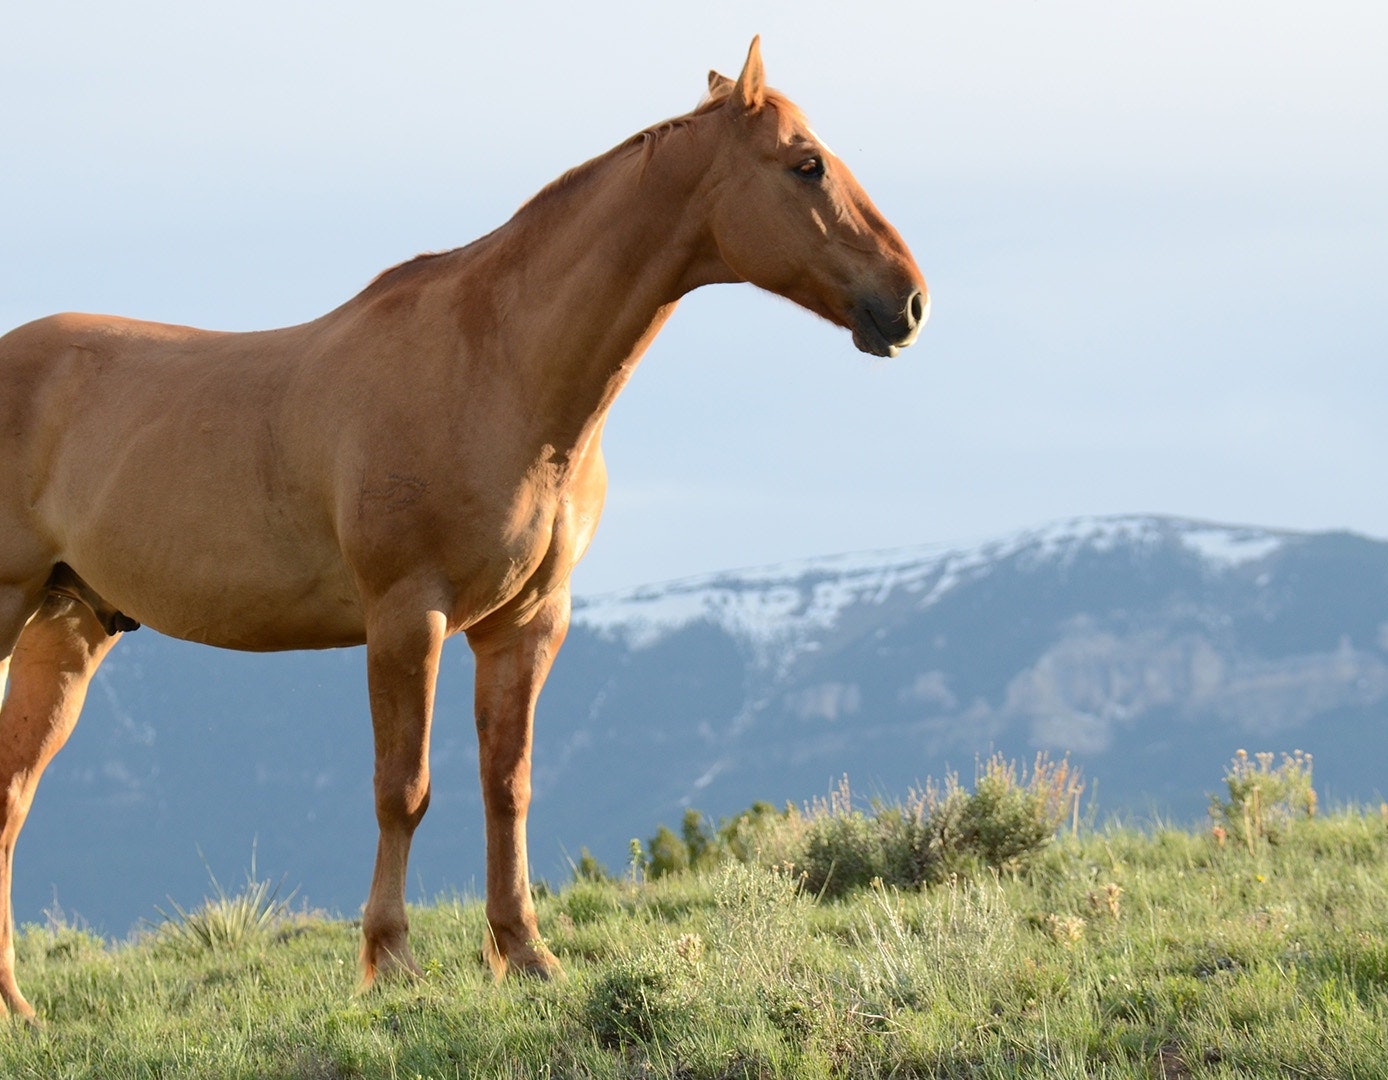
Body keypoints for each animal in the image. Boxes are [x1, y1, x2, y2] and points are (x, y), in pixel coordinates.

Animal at [2, 35, 932, 1016]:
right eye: (806, 163)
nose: (909, 302)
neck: (497, 368)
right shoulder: (408, 617)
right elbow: (403, 789)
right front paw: (391, 961)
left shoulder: (525, 623)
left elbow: (506, 785)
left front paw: (523, 951)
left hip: (67, 628)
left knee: (9, 801)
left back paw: (17, 1006)